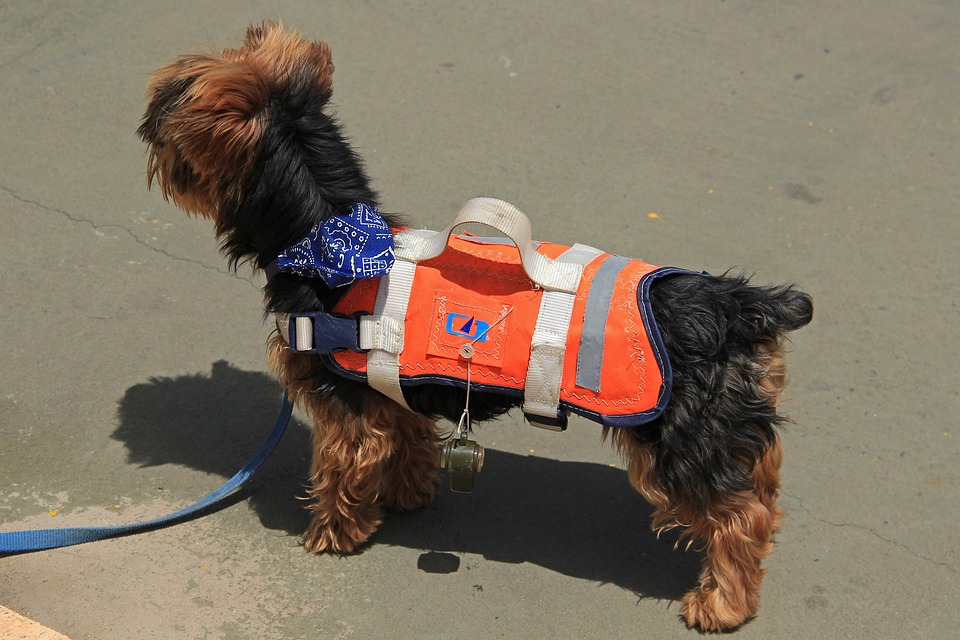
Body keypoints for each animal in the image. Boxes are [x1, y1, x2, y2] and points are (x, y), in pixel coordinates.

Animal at [135, 23, 808, 632]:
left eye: (170, 103)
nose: (145, 118)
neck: (327, 235)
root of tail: (740, 304)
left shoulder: (344, 403)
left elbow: (341, 463)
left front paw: (332, 531)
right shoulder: (393, 388)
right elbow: (407, 437)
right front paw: (408, 495)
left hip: (682, 436)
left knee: (737, 515)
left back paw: (722, 604)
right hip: (726, 423)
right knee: (760, 484)